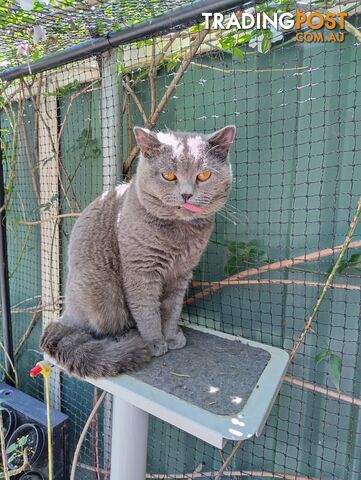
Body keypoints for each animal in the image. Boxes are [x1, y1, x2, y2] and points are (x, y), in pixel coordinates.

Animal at [40, 124, 235, 378]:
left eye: (203, 176)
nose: (186, 194)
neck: (179, 235)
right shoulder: (141, 270)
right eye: (168, 176)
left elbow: (172, 309)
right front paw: (154, 342)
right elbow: (146, 309)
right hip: (102, 291)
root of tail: (65, 315)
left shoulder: (182, 274)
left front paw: (171, 336)